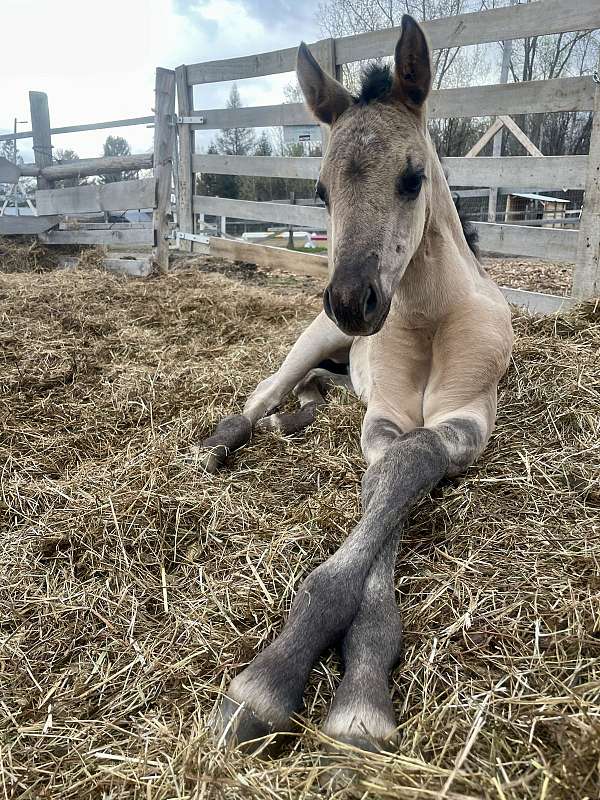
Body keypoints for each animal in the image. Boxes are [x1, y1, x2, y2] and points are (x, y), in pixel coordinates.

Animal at [198, 15, 513, 754]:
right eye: (320, 190)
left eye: (413, 177)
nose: (352, 301)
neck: (428, 316)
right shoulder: (384, 420)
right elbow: (385, 487)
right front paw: (271, 681)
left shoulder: (465, 419)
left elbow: (406, 472)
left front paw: (357, 694)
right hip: (313, 339)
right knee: (265, 389)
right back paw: (227, 440)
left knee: (318, 389)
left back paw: (297, 417)